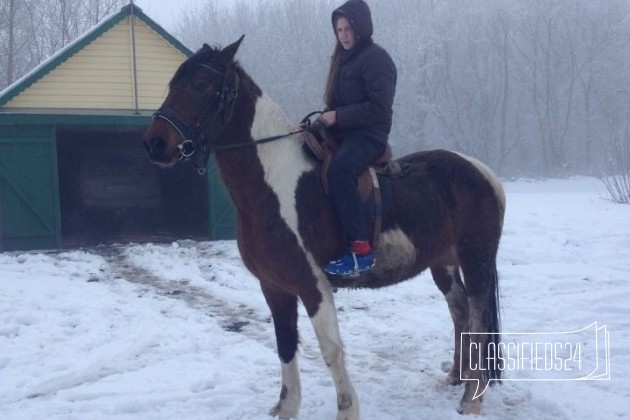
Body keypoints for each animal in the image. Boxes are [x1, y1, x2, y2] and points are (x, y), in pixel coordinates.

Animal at [143, 37, 508, 418]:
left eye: (201, 84)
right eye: (173, 83)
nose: (154, 143)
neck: (272, 184)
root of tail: (483, 172)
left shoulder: (313, 284)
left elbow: (330, 349)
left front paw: (347, 409)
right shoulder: (274, 287)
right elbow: (285, 345)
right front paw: (286, 407)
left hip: (476, 258)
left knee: (479, 321)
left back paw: (472, 397)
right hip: (443, 262)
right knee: (460, 311)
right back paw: (457, 377)